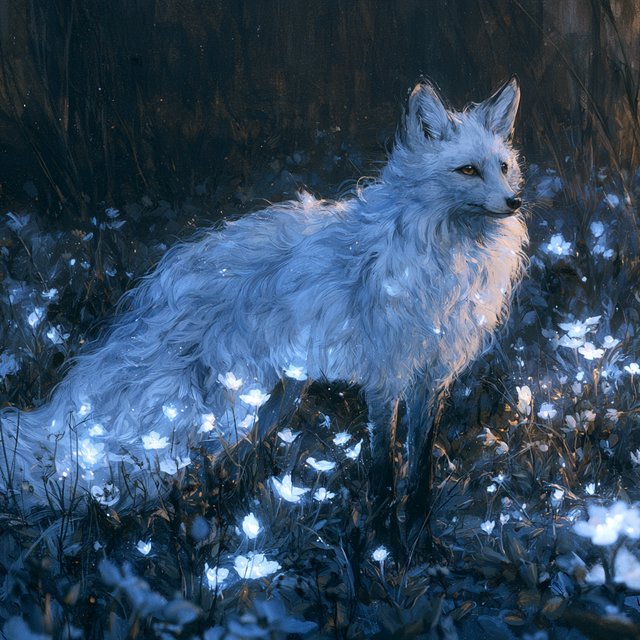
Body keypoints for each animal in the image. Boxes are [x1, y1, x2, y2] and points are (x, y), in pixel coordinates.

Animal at [0, 78, 527, 512]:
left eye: (502, 167)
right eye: (467, 170)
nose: (515, 201)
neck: (447, 254)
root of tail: (161, 281)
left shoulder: (430, 378)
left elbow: (418, 478)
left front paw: (416, 545)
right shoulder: (387, 379)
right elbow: (382, 475)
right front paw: (384, 544)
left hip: (267, 403)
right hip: (217, 411)